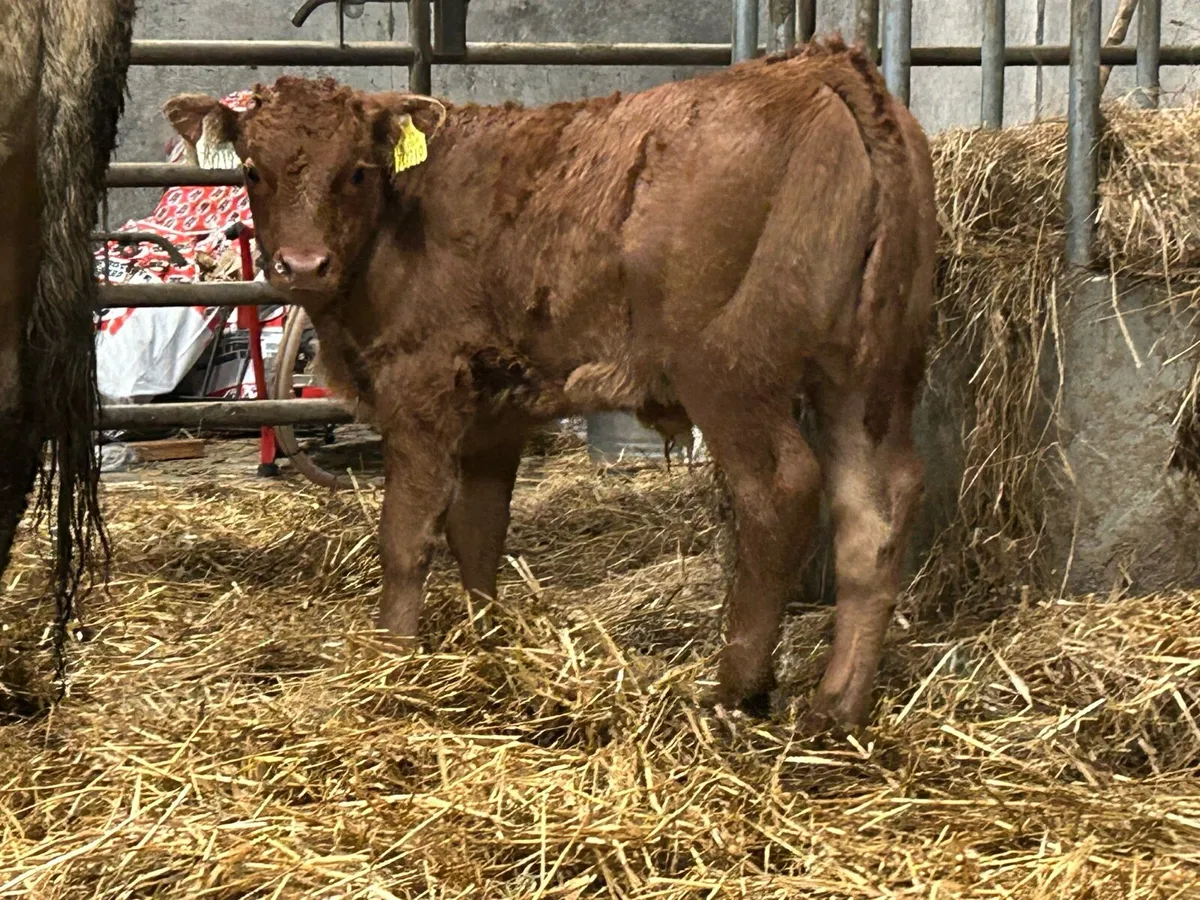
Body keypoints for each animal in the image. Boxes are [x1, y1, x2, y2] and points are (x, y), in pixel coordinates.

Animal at [165, 36, 938, 729]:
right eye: (253, 171)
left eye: (355, 172)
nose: (302, 265)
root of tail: (824, 65)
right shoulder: (492, 411)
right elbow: (479, 530)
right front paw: (484, 641)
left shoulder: (419, 385)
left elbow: (406, 533)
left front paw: (391, 653)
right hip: (869, 376)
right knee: (876, 509)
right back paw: (837, 706)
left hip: (731, 372)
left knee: (779, 490)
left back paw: (736, 687)